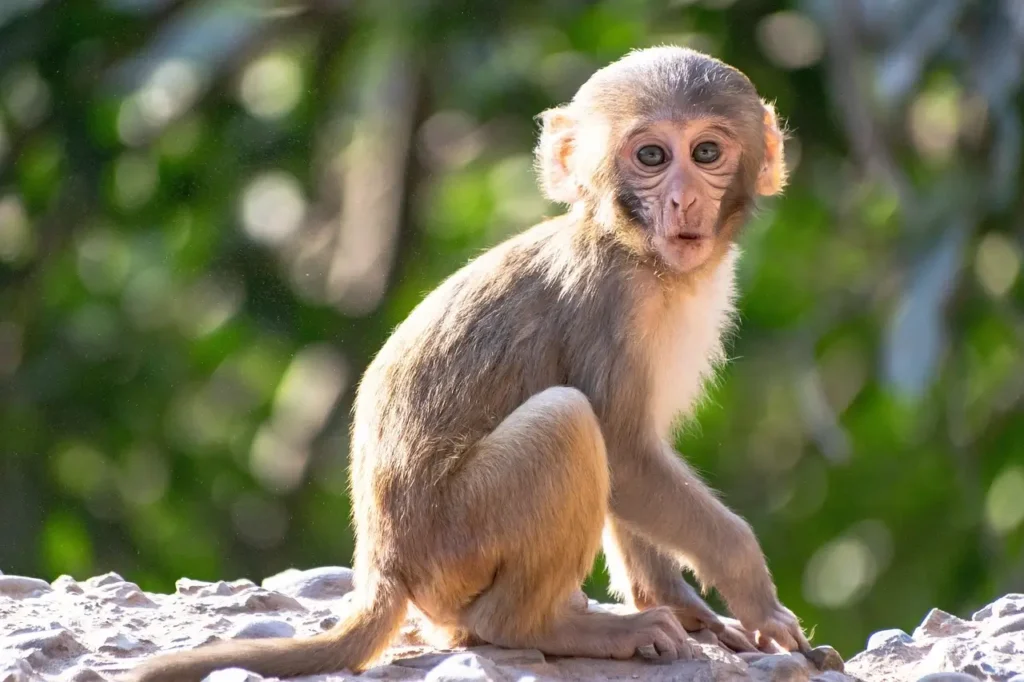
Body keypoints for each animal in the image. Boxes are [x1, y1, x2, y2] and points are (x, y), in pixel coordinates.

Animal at [127, 45, 810, 682]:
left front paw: (684, 606)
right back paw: (545, 627)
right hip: (457, 540)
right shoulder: (612, 304)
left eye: (705, 152)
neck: (636, 251)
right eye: (651, 157)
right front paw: (755, 591)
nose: (682, 200)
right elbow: (625, 451)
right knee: (566, 421)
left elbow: (636, 465)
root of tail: (383, 564)